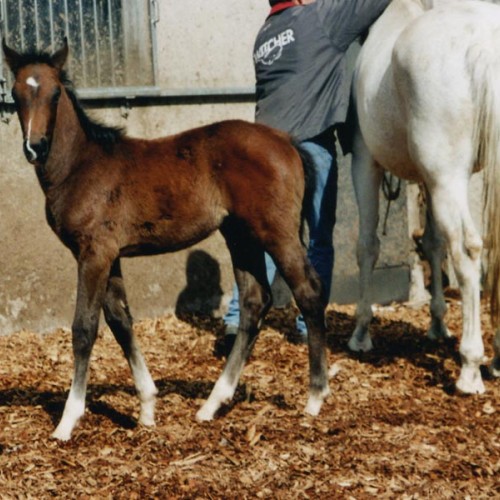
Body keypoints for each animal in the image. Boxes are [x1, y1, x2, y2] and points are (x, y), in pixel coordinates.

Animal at [348, 0, 500, 392]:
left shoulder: (364, 160)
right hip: (450, 180)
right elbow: (432, 243)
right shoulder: (428, 180)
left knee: (467, 249)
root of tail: (483, 45)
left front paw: (361, 333)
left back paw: (470, 368)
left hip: (448, 179)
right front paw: (437, 325)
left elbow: (367, 246)